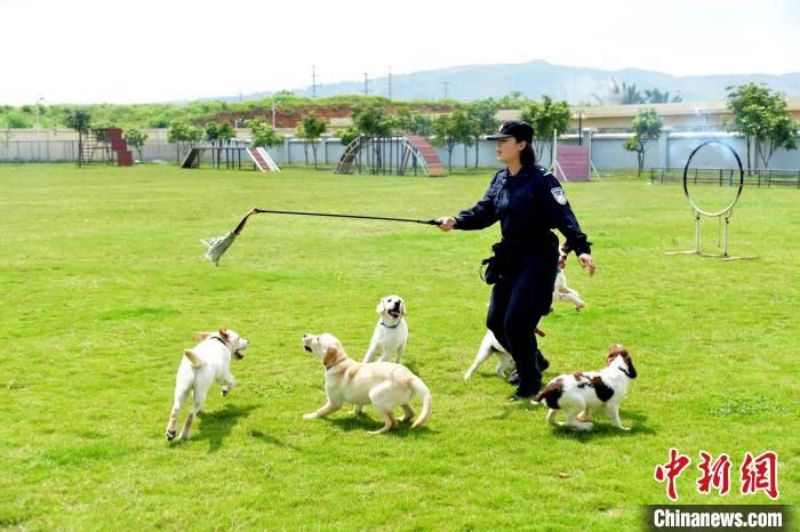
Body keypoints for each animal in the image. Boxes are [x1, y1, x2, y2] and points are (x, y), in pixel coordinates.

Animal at [302, 334, 432, 434]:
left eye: (318, 338)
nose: (304, 335)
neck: (339, 361)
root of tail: (410, 376)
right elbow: (357, 406)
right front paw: (355, 413)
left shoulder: (334, 402)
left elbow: (320, 411)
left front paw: (309, 416)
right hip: (401, 401)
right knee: (410, 413)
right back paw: (402, 419)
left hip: (376, 395)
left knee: (391, 423)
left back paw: (376, 432)